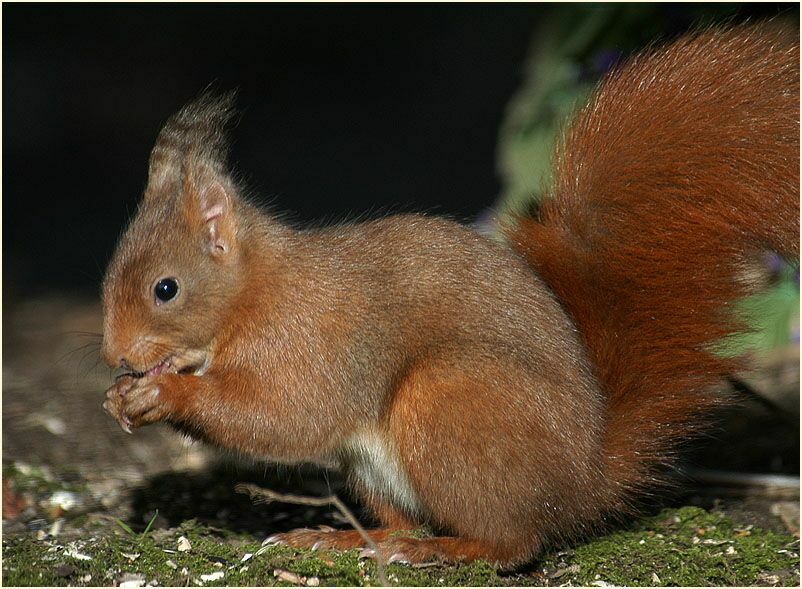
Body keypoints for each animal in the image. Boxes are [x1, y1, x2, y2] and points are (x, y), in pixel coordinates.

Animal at [101, 23, 799, 567]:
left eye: (166, 289)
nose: (117, 356)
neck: (254, 294)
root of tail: (582, 481)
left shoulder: (314, 338)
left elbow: (288, 415)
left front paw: (166, 392)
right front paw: (122, 398)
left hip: (448, 401)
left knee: (514, 541)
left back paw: (443, 549)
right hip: (376, 468)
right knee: (407, 517)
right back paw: (347, 540)